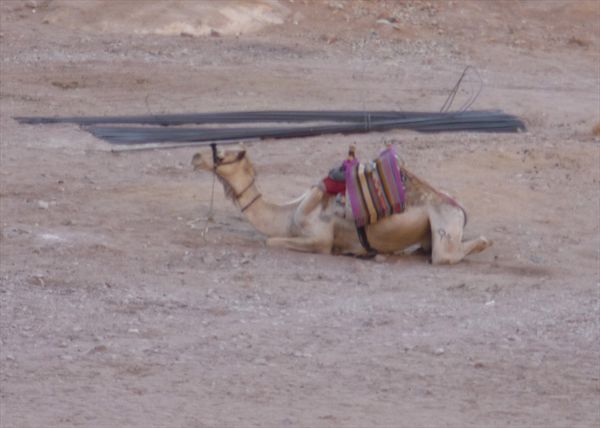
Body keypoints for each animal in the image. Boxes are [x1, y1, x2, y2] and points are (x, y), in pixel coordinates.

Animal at [192, 145, 492, 262]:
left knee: (449, 253)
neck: (287, 215)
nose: (196, 156)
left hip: (445, 224)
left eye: (224, 155)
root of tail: (460, 209)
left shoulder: (319, 238)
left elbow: (271, 241)